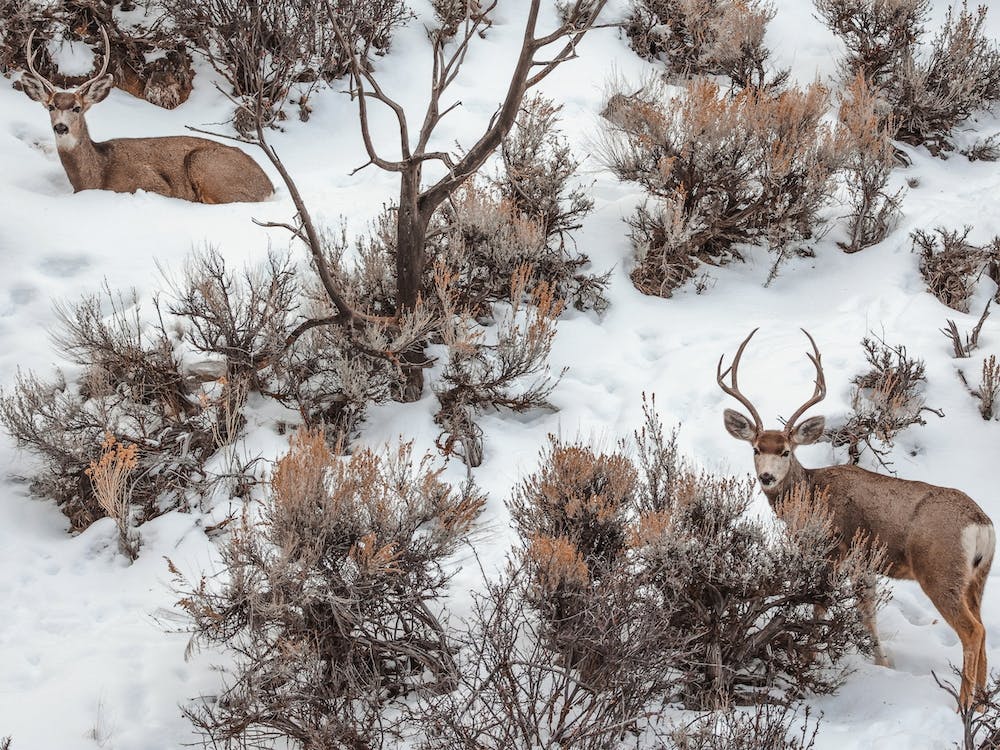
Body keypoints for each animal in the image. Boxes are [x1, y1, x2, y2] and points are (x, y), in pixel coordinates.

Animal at [19, 28, 273, 204]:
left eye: (77, 108)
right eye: (51, 106)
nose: (61, 127)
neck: (97, 176)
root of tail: (269, 187)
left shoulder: (152, 184)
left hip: (205, 164)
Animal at [718, 328, 994, 709]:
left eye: (786, 451)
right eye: (757, 449)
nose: (767, 477)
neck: (810, 496)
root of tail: (980, 523)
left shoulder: (833, 550)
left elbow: (820, 606)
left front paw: (808, 659)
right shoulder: (864, 565)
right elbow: (868, 613)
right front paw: (883, 663)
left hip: (939, 571)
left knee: (973, 631)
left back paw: (963, 704)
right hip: (977, 577)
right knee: (984, 628)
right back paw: (981, 703)